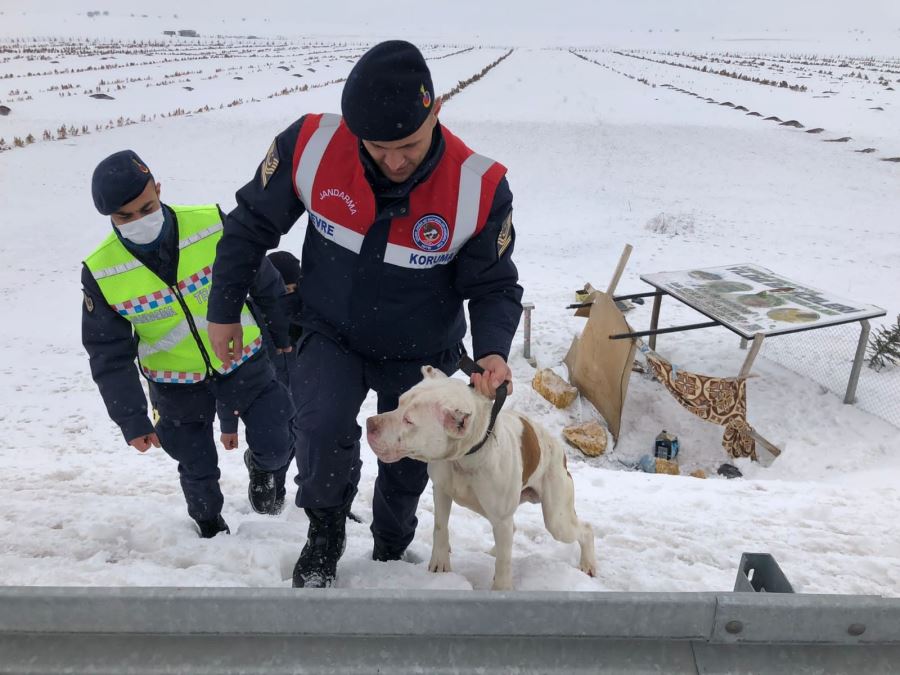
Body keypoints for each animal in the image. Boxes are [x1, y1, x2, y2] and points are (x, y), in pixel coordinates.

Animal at [362, 364, 596, 592]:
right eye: (399, 402)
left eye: (409, 420)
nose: (370, 423)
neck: (465, 458)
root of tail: (558, 447)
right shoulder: (441, 491)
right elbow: (440, 527)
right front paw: (440, 564)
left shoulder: (501, 518)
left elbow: (504, 565)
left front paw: (501, 588)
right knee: (510, 533)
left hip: (557, 519)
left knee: (584, 529)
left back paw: (588, 564)